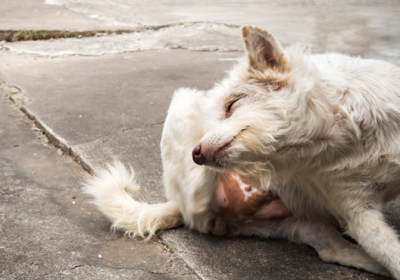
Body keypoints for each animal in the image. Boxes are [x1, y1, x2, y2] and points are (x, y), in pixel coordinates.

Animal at [82, 26, 400, 278]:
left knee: (334, 251)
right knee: (195, 202)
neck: (346, 140)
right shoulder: (358, 214)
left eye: (232, 105)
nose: (196, 154)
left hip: (303, 226)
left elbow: (393, 256)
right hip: (184, 102)